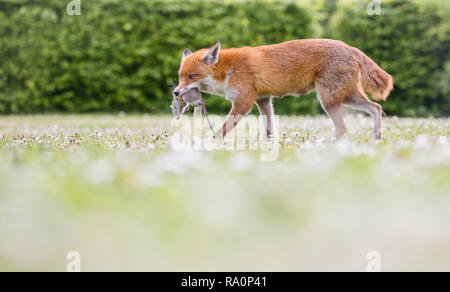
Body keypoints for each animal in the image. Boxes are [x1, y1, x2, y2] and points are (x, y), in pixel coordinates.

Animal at [174, 39, 392, 140]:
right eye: (180, 76)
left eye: (192, 76)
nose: (176, 92)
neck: (228, 70)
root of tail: (350, 47)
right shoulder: (263, 100)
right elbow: (270, 130)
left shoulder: (243, 102)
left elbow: (222, 130)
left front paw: (211, 144)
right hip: (347, 97)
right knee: (376, 108)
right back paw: (376, 139)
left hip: (328, 99)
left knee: (342, 127)